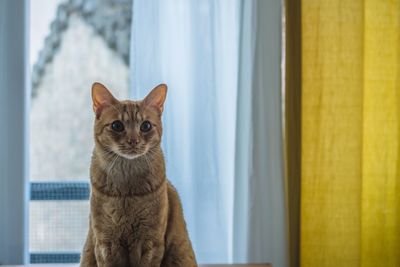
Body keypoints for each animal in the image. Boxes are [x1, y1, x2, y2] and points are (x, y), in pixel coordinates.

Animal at [81, 82, 198, 266]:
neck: (127, 191)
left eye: (146, 126)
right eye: (117, 125)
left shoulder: (151, 243)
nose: (133, 140)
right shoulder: (105, 244)